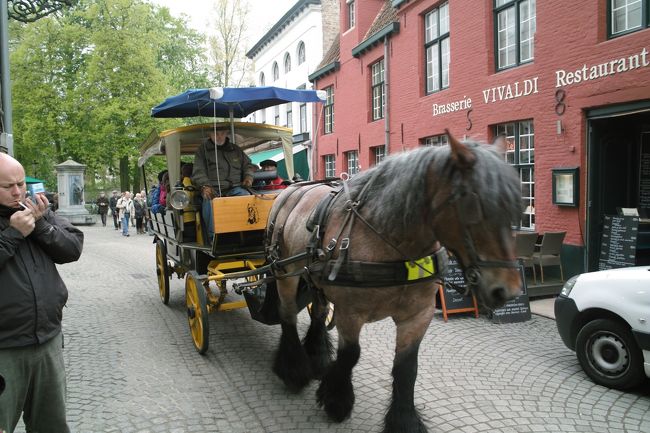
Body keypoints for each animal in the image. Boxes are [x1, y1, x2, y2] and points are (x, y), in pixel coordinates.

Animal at [266, 131, 523, 433]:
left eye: (513, 207)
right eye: (472, 203)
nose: (508, 291)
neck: (390, 241)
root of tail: (291, 189)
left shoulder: (418, 314)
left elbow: (406, 368)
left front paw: (404, 420)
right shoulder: (350, 312)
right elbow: (350, 355)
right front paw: (336, 400)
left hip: (314, 279)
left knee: (317, 314)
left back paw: (317, 358)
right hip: (286, 273)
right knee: (287, 316)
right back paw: (294, 370)